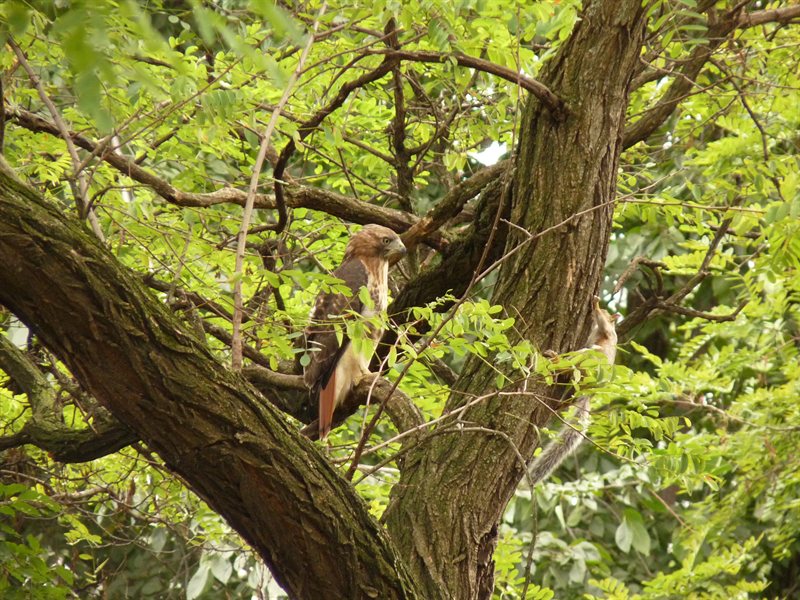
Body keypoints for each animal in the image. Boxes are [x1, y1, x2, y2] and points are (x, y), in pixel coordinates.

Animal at [527, 297, 619, 485]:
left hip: (589, 357)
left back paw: (555, 360)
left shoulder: (606, 330)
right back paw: (560, 403)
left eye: (607, 312)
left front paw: (595, 305)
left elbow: (602, 322)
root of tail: (589, 392)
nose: (605, 309)